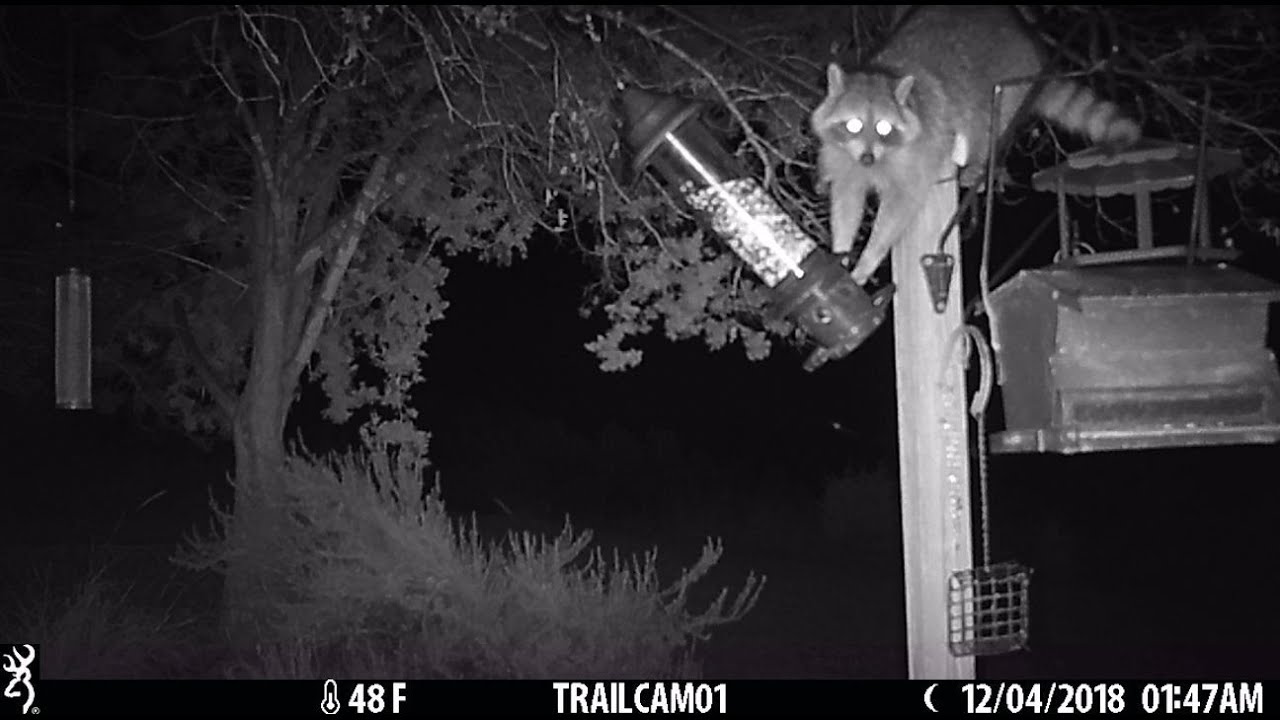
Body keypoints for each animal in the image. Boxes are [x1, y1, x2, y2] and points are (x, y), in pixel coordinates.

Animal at [811, 5, 1142, 285]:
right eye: (853, 125)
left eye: (883, 127)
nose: (867, 159)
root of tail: (1031, 48)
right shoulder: (844, 159)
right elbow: (846, 202)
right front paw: (841, 250)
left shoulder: (918, 157)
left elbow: (898, 210)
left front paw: (868, 259)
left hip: (1007, 90)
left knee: (988, 126)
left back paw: (978, 166)